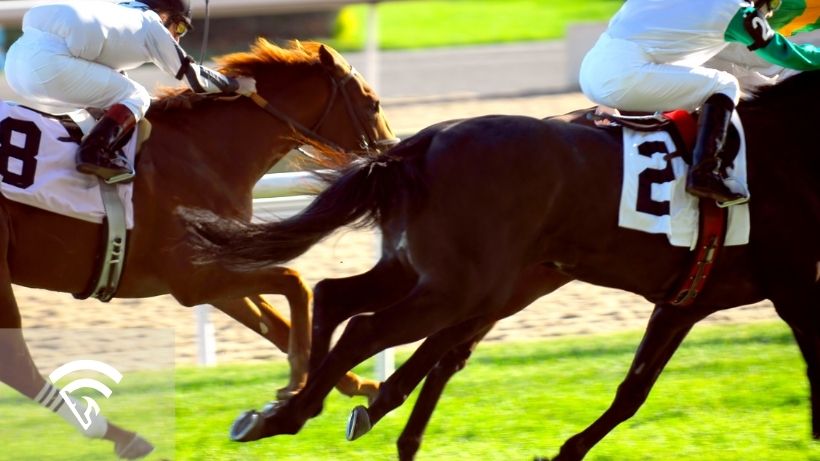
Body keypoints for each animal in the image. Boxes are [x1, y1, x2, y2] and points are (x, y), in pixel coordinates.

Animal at [0, 38, 396, 459]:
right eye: (372, 103)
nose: (394, 152)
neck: (206, 151)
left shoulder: (214, 273)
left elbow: (274, 323)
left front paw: (362, 388)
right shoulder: (192, 278)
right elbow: (295, 282)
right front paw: (295, 385)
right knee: (16, 365)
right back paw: (120, 436)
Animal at [186, 69, 819, 460]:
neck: (788, 146)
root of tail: (422, 143)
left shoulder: (686, 299)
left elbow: (633, 391)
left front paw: (565, 450)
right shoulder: (796, 286)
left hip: (430, 272)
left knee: (338, 296)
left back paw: (289, 406)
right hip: (463, 284)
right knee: (369, 326)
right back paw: (300, 411)